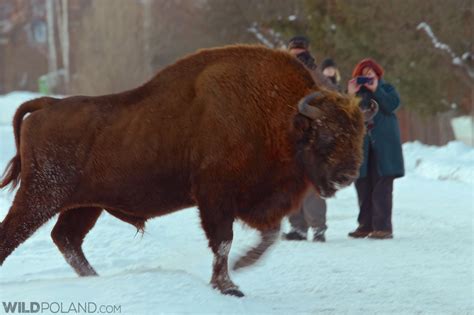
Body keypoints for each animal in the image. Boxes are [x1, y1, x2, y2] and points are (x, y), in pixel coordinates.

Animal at [0, 45, 370, 298]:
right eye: (325, 134)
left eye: (360, 132)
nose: (347, 175)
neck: (281, 115)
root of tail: (47, 106)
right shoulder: (215, 197)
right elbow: (223, 241)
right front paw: (229, 285)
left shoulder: (256, 202)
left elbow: (269, 235)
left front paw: (243, 265)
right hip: (42, 196)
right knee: (13, 235)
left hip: (85, 206)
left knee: (67, 239)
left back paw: (95, 278)